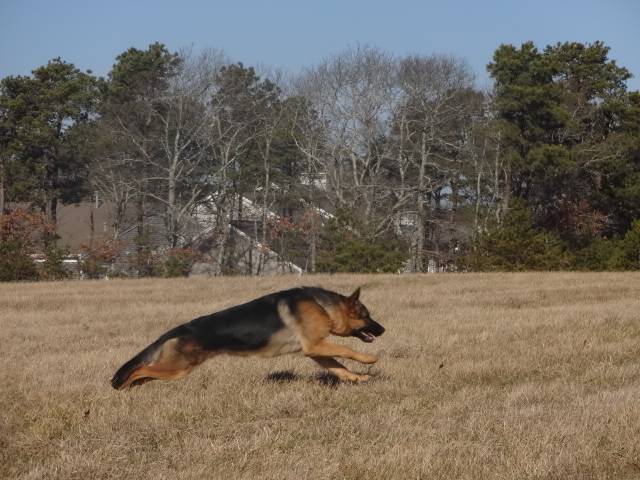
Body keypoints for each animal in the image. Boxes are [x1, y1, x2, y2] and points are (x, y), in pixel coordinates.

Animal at [110, 286, 384, 388]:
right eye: (367, 316)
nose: (383, 330)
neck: (324, 306)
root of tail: (179, 329)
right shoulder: (316, 345)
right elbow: (347, 351)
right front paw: (370, 360)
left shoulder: (316, 351)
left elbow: (339, 367)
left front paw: (359, 377)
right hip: (178, 367)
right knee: (139, 369)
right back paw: (123, 386)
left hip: (173, 368)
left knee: (145, 371)